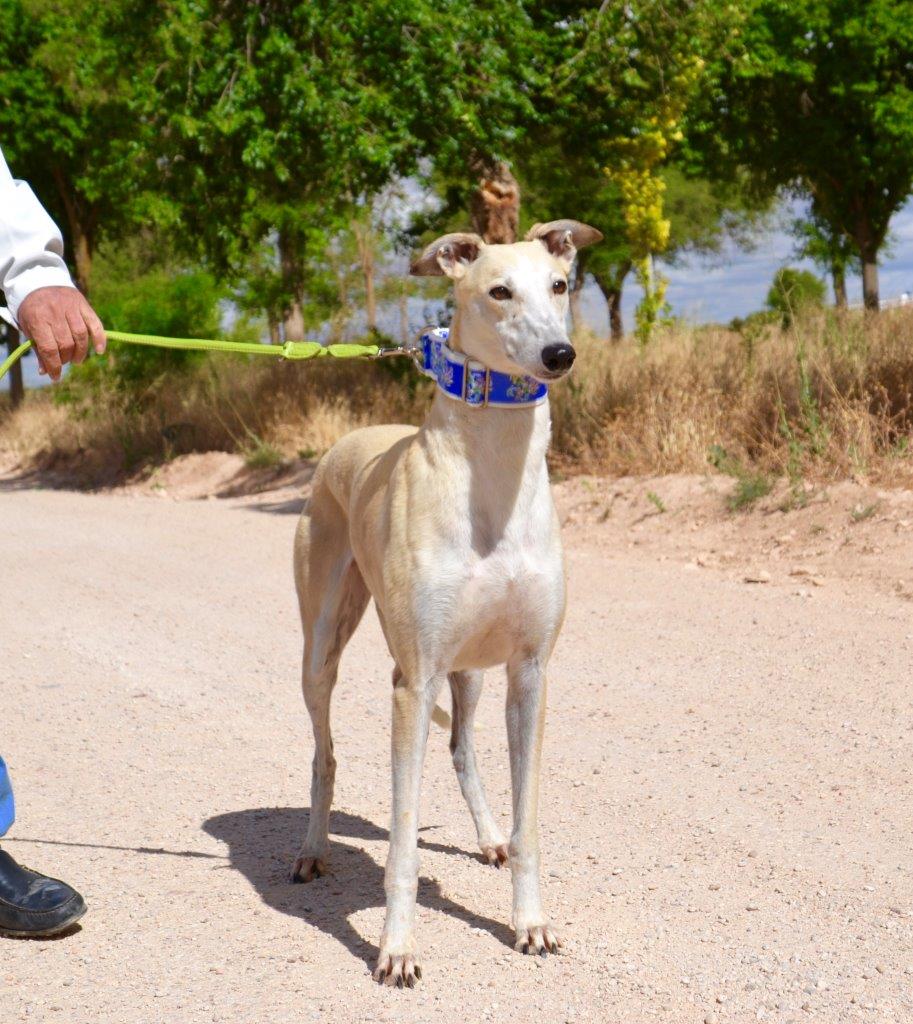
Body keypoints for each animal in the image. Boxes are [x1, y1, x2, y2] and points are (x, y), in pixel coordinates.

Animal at [292, 218, 601, 983]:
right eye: (498, 291)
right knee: (324, 754)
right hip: (323, 644)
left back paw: (487, 837)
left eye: (560, 284)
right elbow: (401, 845)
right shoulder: (415, 681)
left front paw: (530, 922)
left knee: (462, 747)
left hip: (470, 671)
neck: (493, 477)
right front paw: (396, 949)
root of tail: (347, 442)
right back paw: (312, 848)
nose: (559, 355)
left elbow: (528, 823)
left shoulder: (528, 673)